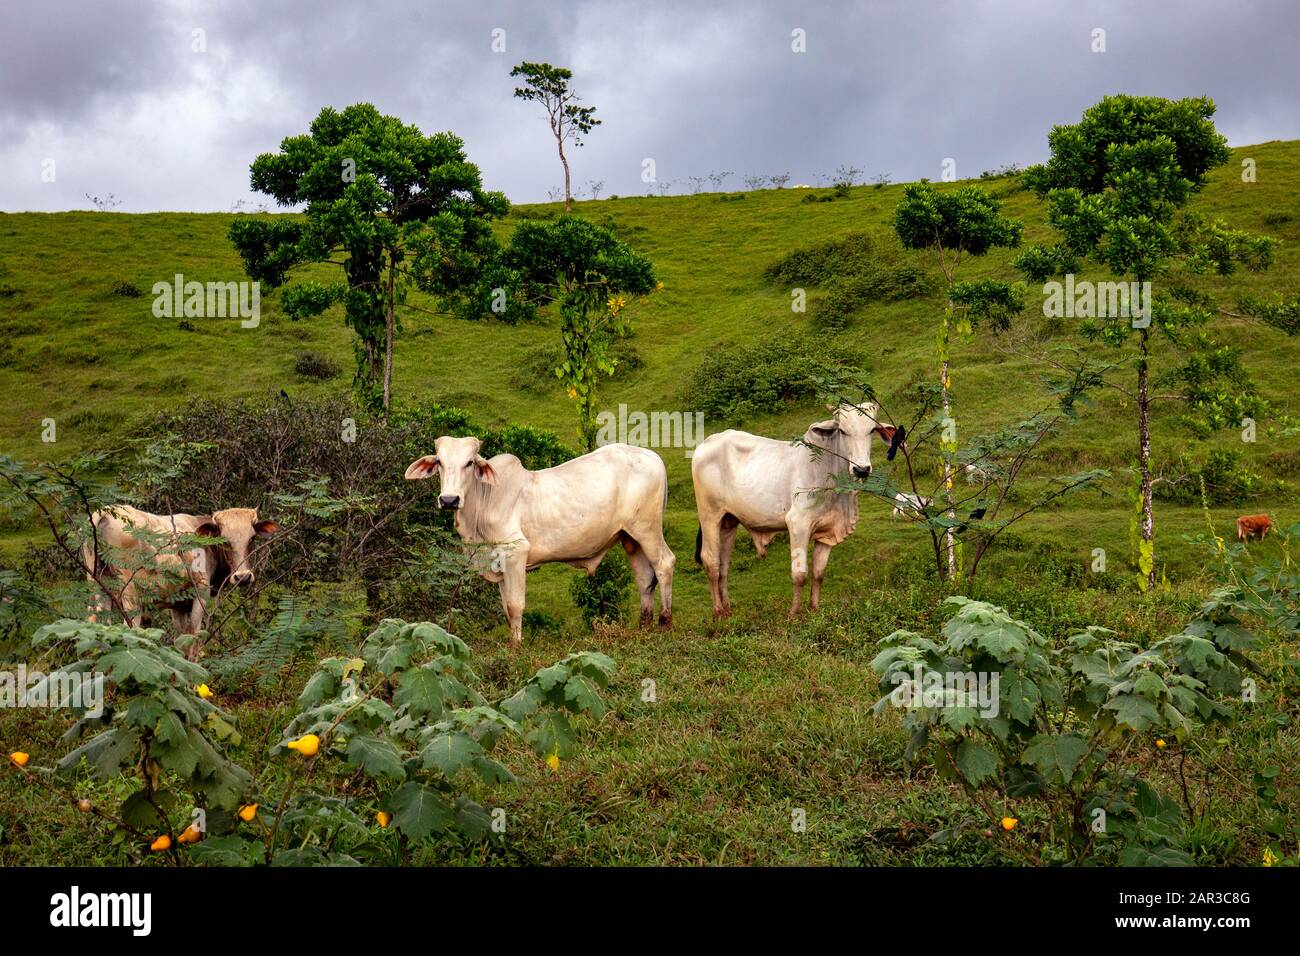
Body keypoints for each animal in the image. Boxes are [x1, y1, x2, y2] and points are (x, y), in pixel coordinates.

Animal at [405, 437, 676, 647]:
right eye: (439, 462)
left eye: (469, 462)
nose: (449, 499)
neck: (483, 503)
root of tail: (653, 456)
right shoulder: (499, 564)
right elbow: (506, 609)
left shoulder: (516, 552)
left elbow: (515, 605)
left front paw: (516, 647)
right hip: (630, 538)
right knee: (645, 579)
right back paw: (643, 626)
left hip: (647, 530)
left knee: (664, 564)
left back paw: (664, 622)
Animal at [691, 403, 894, 621]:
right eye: (842, 430)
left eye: (871, 430)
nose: (861, 469)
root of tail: (707, 443)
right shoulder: (798, 524)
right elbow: (800, 574)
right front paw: (795, 614)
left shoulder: (827, 531)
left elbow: (818, 573)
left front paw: (814, 610)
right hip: (709, 515)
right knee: (711, 561)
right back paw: (718, 611)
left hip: (729, 521)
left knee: (724, 565)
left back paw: (727, 610)